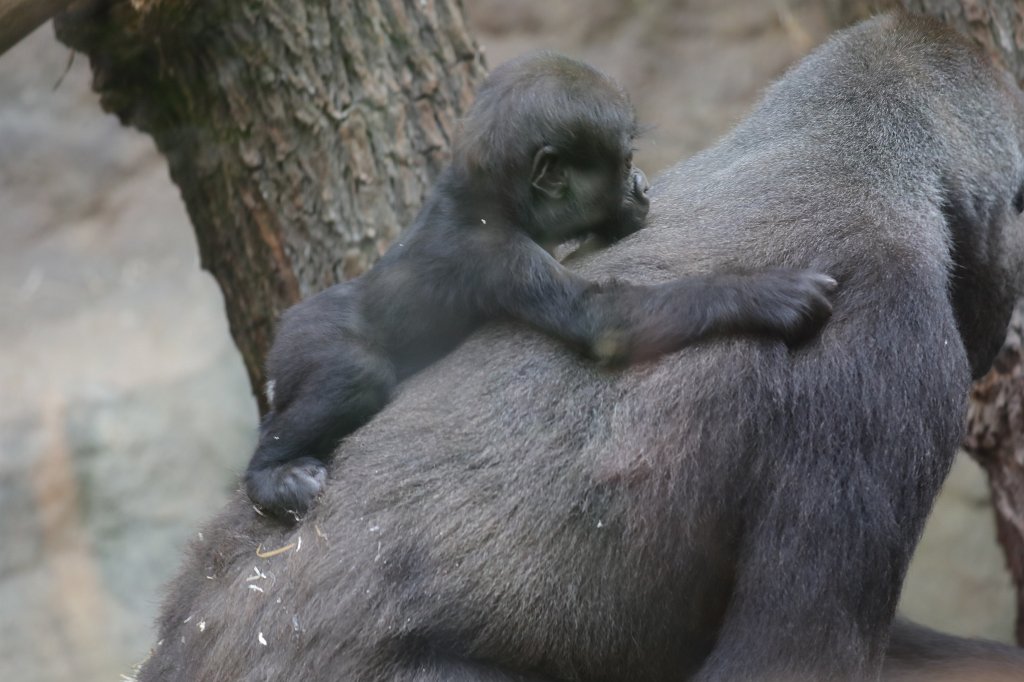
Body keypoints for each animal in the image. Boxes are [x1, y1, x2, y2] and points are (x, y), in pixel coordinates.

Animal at [244, 52, 836, 519]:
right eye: (623, 161)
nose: (642, 186)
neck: (494, 199)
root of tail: (285, 329)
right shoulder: (496, 254)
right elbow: (604, 321)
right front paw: (765, 294)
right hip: (309, 339)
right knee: (354, 372)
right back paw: (268, 476)